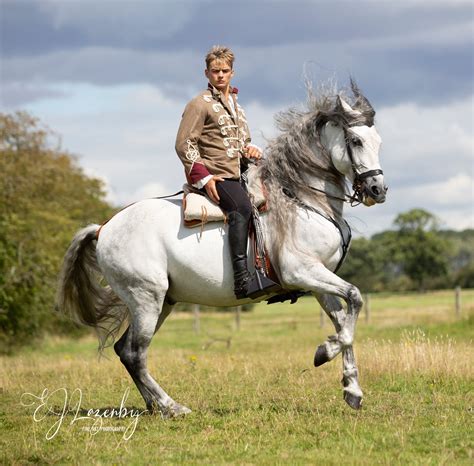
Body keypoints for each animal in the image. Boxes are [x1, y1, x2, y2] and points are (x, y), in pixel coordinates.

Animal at [57, 82, 386, 416]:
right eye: (356, 141)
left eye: (378, 141)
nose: (378, 190)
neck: (302, 199)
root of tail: (105, 227)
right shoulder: (301, 272)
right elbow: (355, 300)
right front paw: (324, 351)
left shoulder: (319, 281)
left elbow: (345, 319)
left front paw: (352, 389)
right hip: (146, 299)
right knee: (136, 353)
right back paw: (172, 406)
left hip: (161, 301)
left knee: (125, 350)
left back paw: (156, 406)